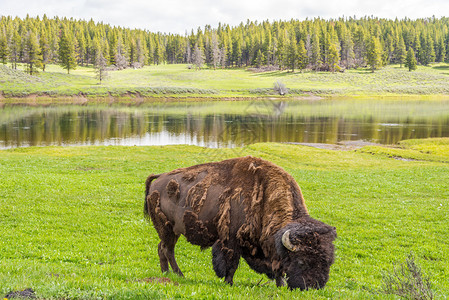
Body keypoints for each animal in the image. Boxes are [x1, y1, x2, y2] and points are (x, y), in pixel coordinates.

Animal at [144, 156, 336, 290]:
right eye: (302, 262)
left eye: (328, 262)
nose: (314, 286)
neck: (265, 196)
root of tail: (159, 178)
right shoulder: (230, 240)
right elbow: (231, 263)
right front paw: (228, 283)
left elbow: (277, 268)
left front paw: (280, 285)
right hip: (167, 229)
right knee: (167, 249)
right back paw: (178, 275)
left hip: (171, 231)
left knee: (162, 248)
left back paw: (168, 274)